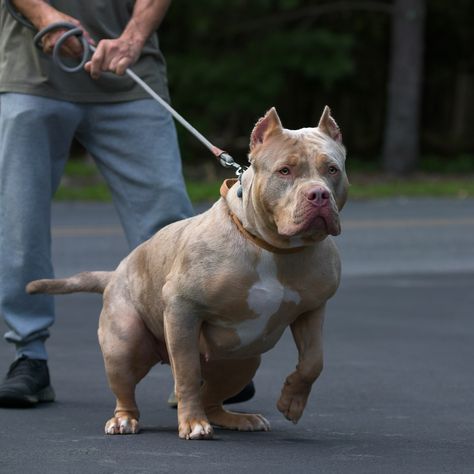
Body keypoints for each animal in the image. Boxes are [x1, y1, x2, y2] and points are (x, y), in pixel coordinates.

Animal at [26, 106, 348, 440]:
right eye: (284, 171)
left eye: (332, 170)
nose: (318, 195)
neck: (273, 248)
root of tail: (114, 273)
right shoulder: (183, 309)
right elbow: (187, 373)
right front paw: (192, 423)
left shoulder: (312, 310)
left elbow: (313, 361)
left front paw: (292, 401)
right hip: (124, 343)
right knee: (128, 390)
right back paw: (125, 420)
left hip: (242, 361)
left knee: (213, 399)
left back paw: (237, 418)